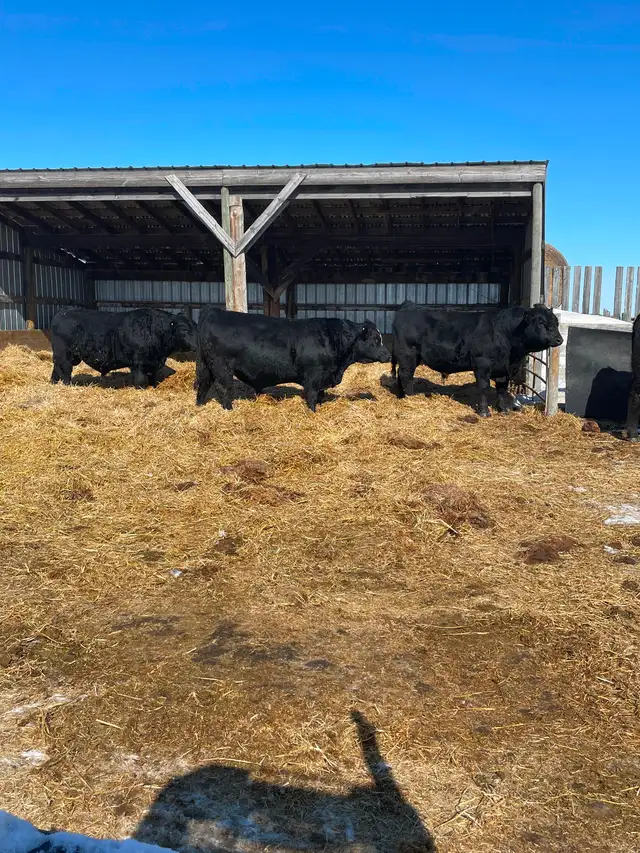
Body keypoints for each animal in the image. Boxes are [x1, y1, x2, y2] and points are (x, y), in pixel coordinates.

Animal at [50, 307, 197, 388]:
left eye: (195, 326)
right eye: (184, 329)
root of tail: (62, 313)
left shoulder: (153, 364)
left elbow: (152, 380)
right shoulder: (137, 363)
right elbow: (140, 381)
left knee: (56, 369)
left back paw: (53, 383)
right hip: (65, 355)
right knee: (65, 371)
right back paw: (67, 385)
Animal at [195, 308, 390, 411]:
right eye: (375, 339)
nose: (388, 355)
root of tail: (212, 311)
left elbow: (320, 394)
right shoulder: (313, 375)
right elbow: (312, 395)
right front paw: (313, 412)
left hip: (207, 366)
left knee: (204, 385)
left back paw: (199, 406)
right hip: (222, 367)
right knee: (222, 388)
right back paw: (229, 409)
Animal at [391, 301, 563, 416]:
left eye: (556, 322)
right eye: (540, 322)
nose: (559, 339)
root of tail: (409, 306)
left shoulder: (503, 369)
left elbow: (502, 388)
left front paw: (503, 409)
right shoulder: (482, 364)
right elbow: (484, 387)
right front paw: (484, 411)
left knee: (401, 374)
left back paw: (401, 397)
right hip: (408, 354)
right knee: (406, 375)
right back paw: (411, 398)